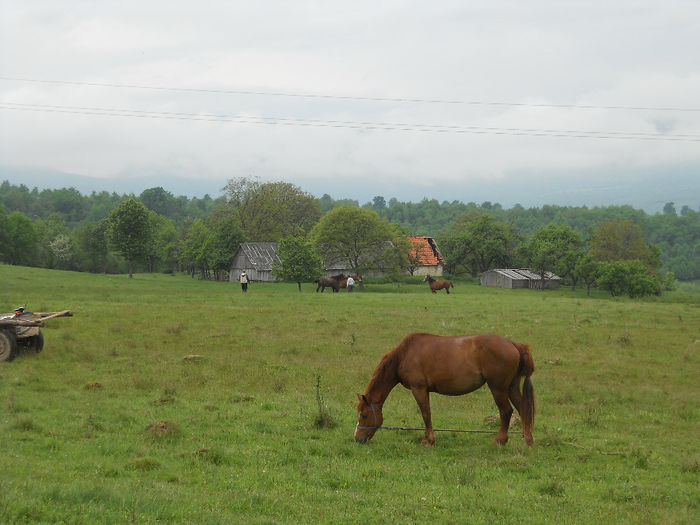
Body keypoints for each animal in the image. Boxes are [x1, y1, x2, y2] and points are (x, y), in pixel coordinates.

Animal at [356, 332, 536, 446]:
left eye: (364, 415)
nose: (357, 439)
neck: (404, 354)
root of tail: (513, 344)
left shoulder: (418, 389)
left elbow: (426, 414)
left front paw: (428, 441)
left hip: (498, 389)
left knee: (506, 411)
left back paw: (499, 441)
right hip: (511, 388)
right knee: (523, 409)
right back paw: (527, 440)